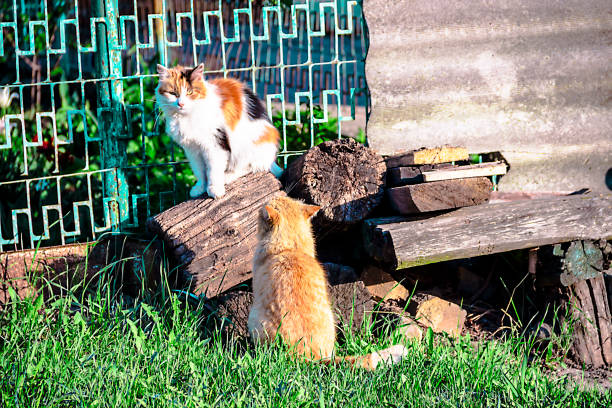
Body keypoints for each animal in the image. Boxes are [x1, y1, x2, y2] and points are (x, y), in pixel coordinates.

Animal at [157, 63, 284, 198]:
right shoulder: (192, 149)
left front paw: (215, 189)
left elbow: (213, 169)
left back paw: (227, 177)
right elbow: (199, 170)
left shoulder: (215, 144)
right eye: (173, 93)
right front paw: (200, 187)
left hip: (246, 146)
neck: (186, 116)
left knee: (252, 166)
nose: (181, 104)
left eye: (190, 92)